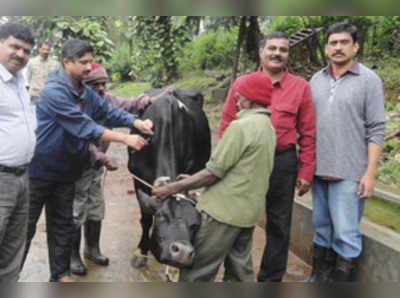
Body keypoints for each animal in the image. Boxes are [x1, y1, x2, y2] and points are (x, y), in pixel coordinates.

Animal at [128, 87, 211, 268]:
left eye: (195, 225)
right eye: (162, 216)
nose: (183, 252)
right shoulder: (137, 180)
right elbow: (146, 219)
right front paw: (142, 252)